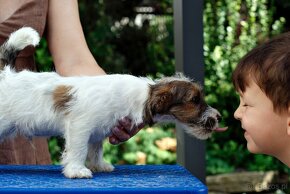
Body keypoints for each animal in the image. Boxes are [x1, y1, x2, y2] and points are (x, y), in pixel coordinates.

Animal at [0, 27, 227, 179]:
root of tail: (6, 75)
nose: (219, 116)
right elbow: (79, 150)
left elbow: (96, 149)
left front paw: (99, 165)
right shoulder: (80, 128)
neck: (144, 95)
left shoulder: (97, 132)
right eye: (195, 100)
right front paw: (76, 170)